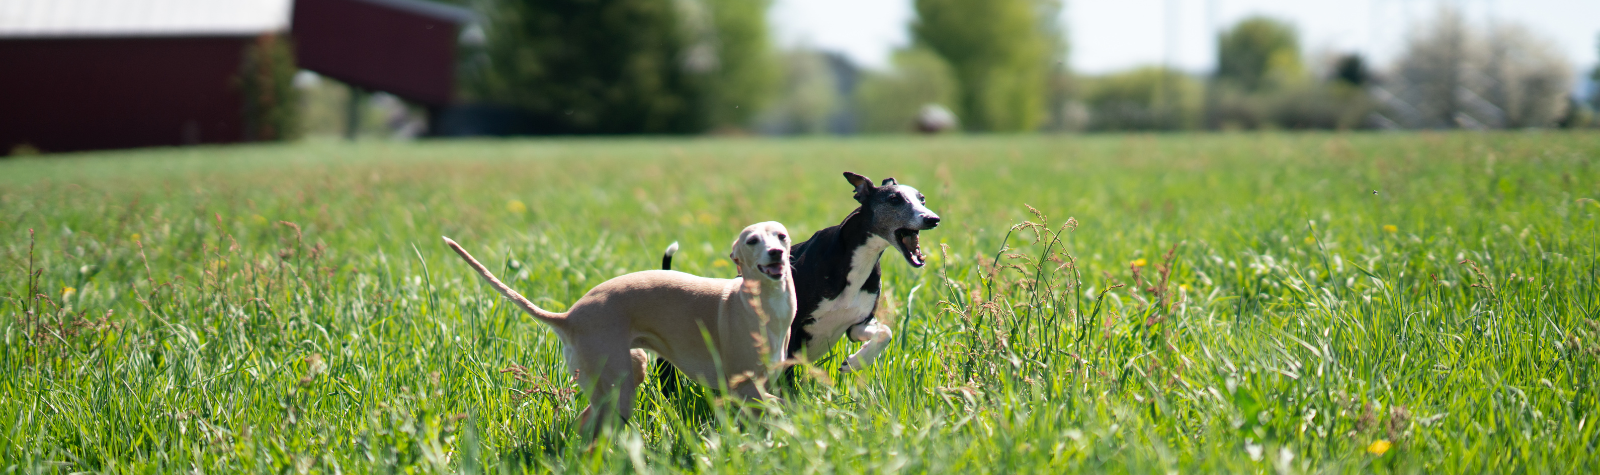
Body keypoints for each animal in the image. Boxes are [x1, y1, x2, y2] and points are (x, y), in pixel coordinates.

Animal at [441, 220, 796, 431]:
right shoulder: (741, 386)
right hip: (616, 387)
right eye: (752, 240)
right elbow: (776, 406)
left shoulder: (756, 386)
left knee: (583, 424)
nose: (776, 253)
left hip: (627, 370)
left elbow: (772, 407)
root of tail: (568, 317)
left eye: (782, 235)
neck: (761, 304)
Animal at [659, 171, 940, 382]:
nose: (933, 219)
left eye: (922, 199)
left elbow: (885, 332)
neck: (856, 261)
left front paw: (855, 361)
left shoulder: (858, 324)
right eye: (894, 199)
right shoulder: (791, 330)